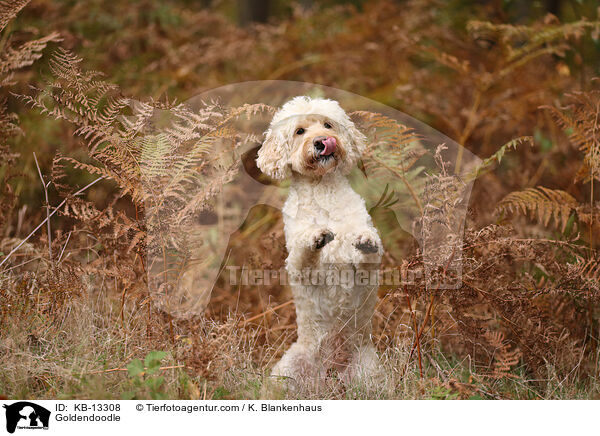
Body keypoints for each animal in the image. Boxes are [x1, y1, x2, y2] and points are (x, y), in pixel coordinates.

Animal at [255, 95, 382, 384]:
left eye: (328, 124)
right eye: (300, 131)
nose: (323, 141)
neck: (322, 189)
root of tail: (330, 374)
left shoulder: (365, 270)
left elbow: (368, 253)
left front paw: (366, 240)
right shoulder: (299, 267)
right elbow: (305, 252)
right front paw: (316, 235)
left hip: (368, 371)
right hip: (287, 372)